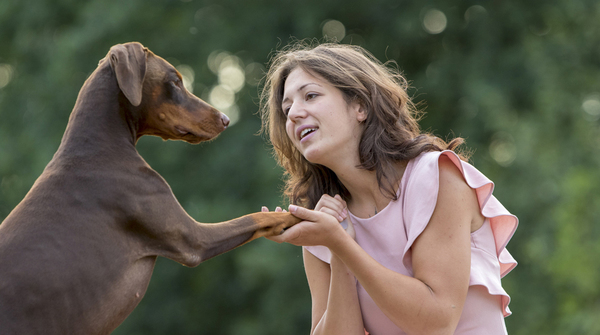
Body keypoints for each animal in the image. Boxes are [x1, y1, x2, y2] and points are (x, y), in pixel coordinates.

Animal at [0, 42, 300, 335]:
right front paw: (295, 215)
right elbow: (256, 217)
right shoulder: (193, 239)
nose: (225, 118)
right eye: (175, 81)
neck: (99, 146)